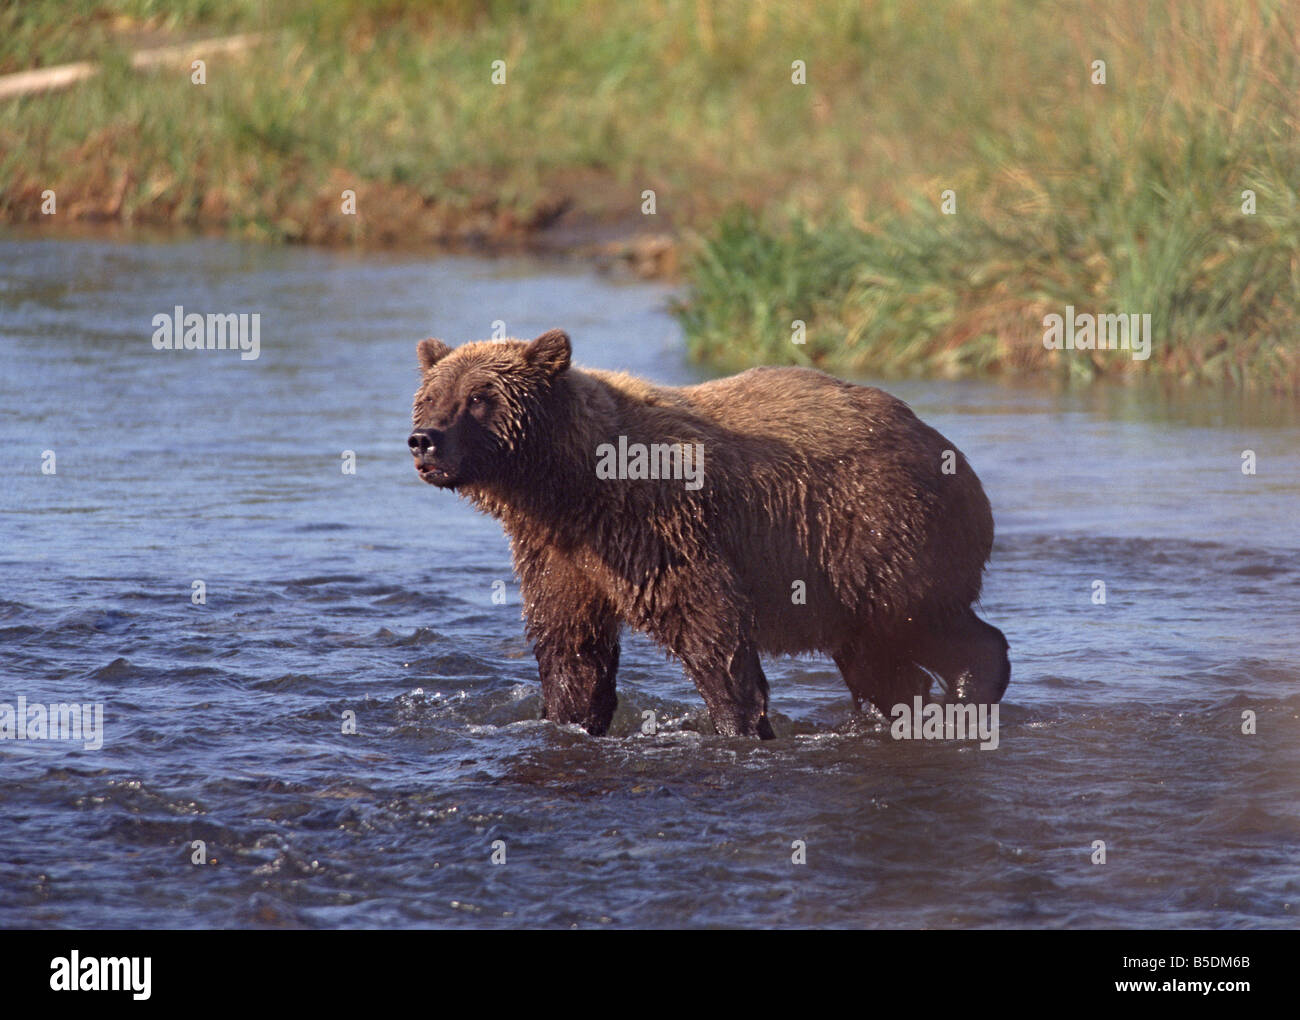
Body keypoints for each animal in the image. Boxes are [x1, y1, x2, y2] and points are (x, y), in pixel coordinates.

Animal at [408, 329, 1009, 739]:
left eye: (479, 397)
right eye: (432, 395)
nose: (424, 440)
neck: (566, 486)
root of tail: (945, 446)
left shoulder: (658, 527)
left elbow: (707, 627)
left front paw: (740, 723)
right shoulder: (561, 554)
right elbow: (571, 646)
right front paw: (569, 717)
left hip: (874, 532)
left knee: (917, 621)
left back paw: (968, 692)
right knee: (875, 657)